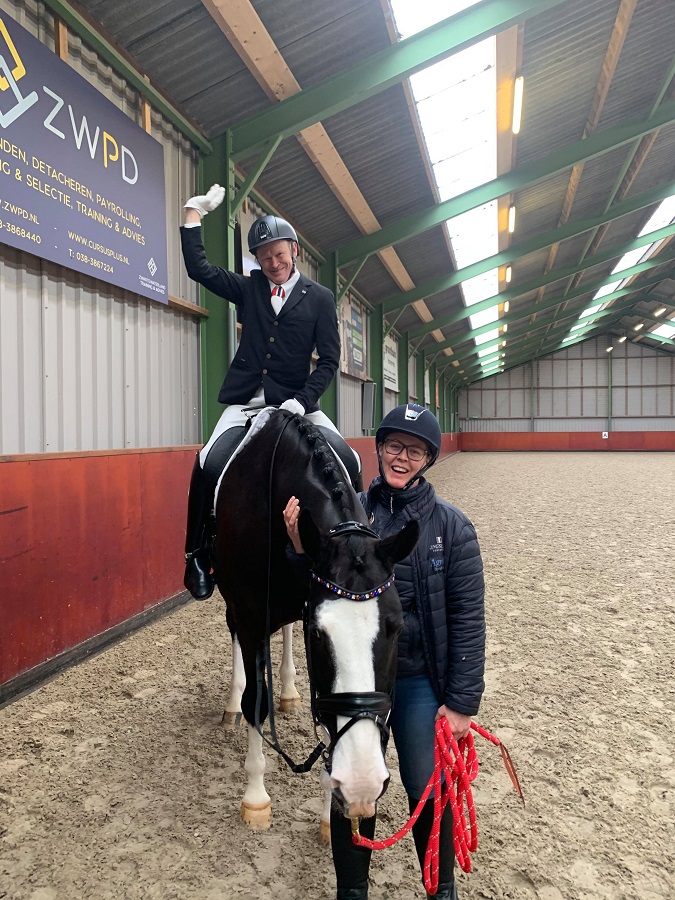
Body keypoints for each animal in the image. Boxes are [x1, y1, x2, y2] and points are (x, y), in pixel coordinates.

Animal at [213, 408, 419, 833]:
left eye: (397, 629)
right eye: (319, 633)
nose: (364, 780)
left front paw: (329, 814)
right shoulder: (251, 615)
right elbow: (256, 700)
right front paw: (255, 798)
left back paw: (289, 691)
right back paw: (232, 705)